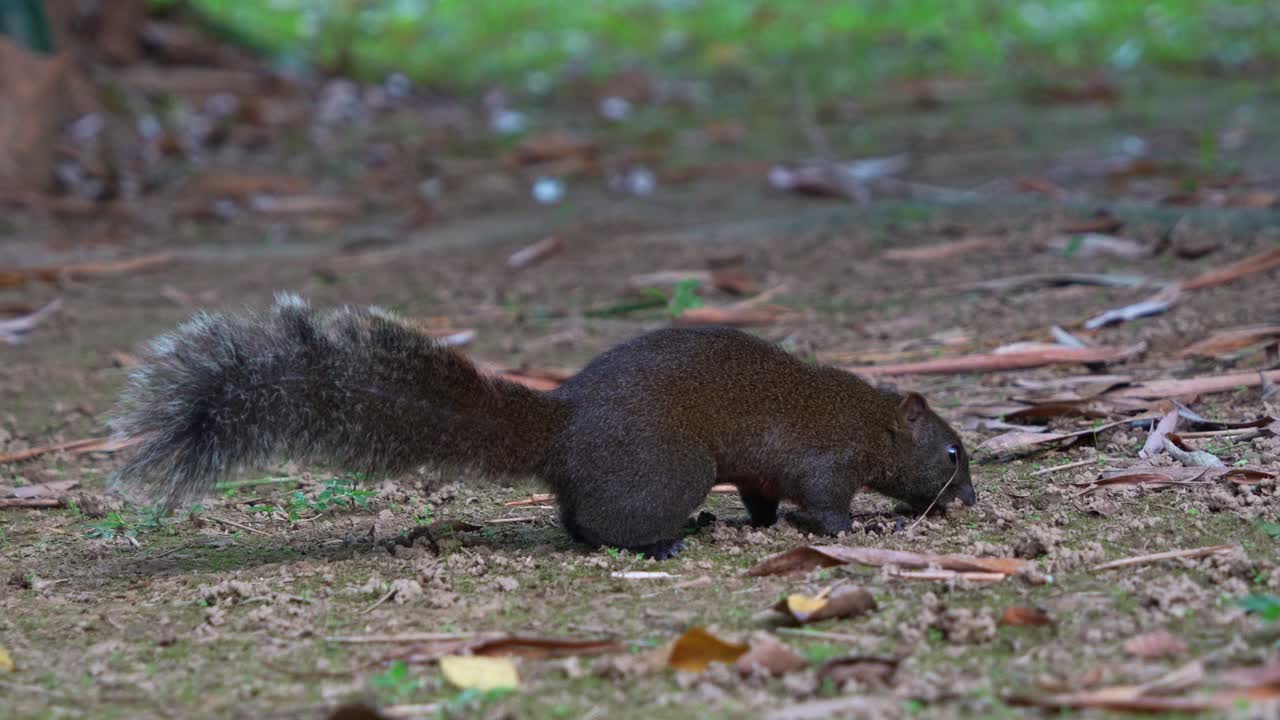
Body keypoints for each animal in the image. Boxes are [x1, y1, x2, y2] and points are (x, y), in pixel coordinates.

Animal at [110, 293, 975, 559]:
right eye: (952, 452)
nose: (969, 500)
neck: (871, 421)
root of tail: (562, 429)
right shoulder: (826, 461)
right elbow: (823, 505)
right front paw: (861, 528)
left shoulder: (767, 471)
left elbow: (766, 498)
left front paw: (757, 522)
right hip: (668, 466)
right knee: (605, 523)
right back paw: (664, 540)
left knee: (575, 520)